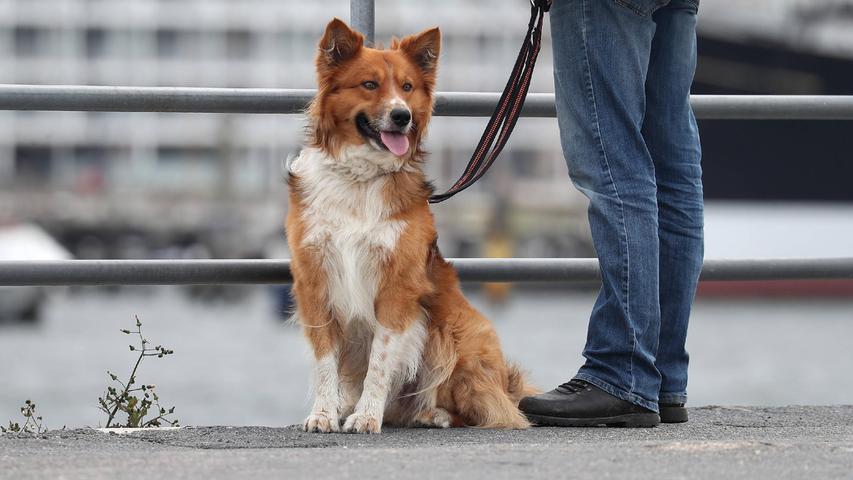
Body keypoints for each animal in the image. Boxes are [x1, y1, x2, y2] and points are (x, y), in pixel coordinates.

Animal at [290, 18, 536, 434]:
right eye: (369, 84)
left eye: (407, 87)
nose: (402, 116)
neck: (360, 178)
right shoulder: (315, 281)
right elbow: (325, 362)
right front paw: (323, 414)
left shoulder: (397, 286)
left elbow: (380, 360)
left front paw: (367, 416)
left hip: (453, 332)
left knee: (483, 407)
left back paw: (433, 414)